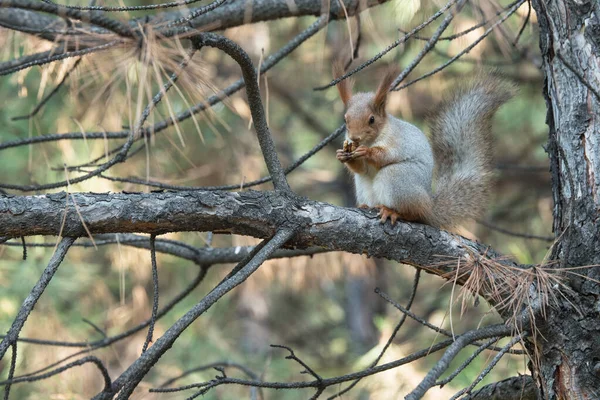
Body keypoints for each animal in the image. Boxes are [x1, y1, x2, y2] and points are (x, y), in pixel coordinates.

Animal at [336, 65, 512, 228]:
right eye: (345, 119)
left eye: (372, 119)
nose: (354, 138)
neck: (371, 140)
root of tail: (430, 208)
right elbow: (361, 168)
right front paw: (342, 155)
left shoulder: (398, 141)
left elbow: (386, 156)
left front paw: (366, 152)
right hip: (363, 184)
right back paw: (366, 205)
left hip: (398, 179)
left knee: (415, 213)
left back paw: (393, 211)